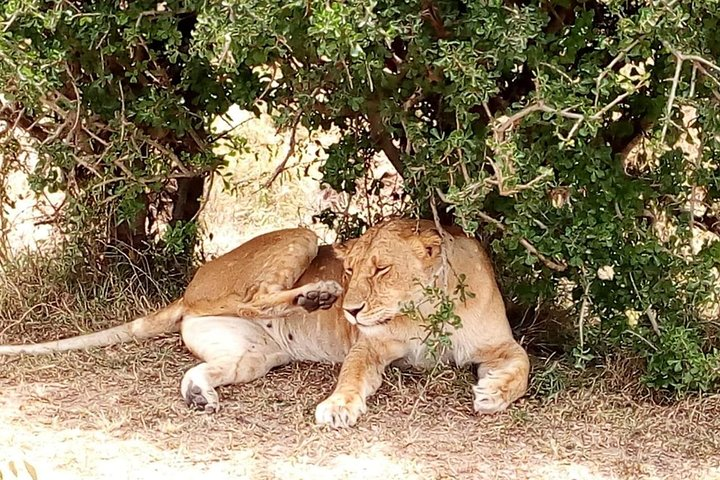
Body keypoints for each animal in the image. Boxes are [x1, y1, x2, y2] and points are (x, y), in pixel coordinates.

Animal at [0, 218, 528, 428]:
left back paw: (200, 396)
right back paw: (316, 295)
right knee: (257, 298)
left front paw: (491, 394)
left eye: (381, 269)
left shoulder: (498, 343)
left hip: (252, 354)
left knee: (198, 370)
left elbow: (523, 365)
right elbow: (352, 374)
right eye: (352, 270)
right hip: (299, 237)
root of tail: (190, 291)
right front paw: (338, 408)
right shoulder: (368, 346)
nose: (352, 309)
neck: (427, 311)